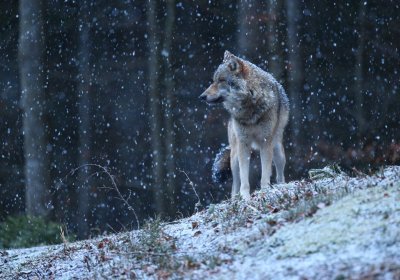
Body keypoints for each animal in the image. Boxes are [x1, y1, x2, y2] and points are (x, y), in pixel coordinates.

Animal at [199, 50, 288, 199]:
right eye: (213, 80)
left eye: (221, 80)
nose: (201, 96)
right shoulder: (243, 144)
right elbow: (244, 178)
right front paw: (245, 197)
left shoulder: (265, 143)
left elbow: (265, 174)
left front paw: (264, 191)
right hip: (234, 157)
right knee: (235, 183)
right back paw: (235, 198)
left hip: (277, 150)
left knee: (280, 174)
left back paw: (281, 186)